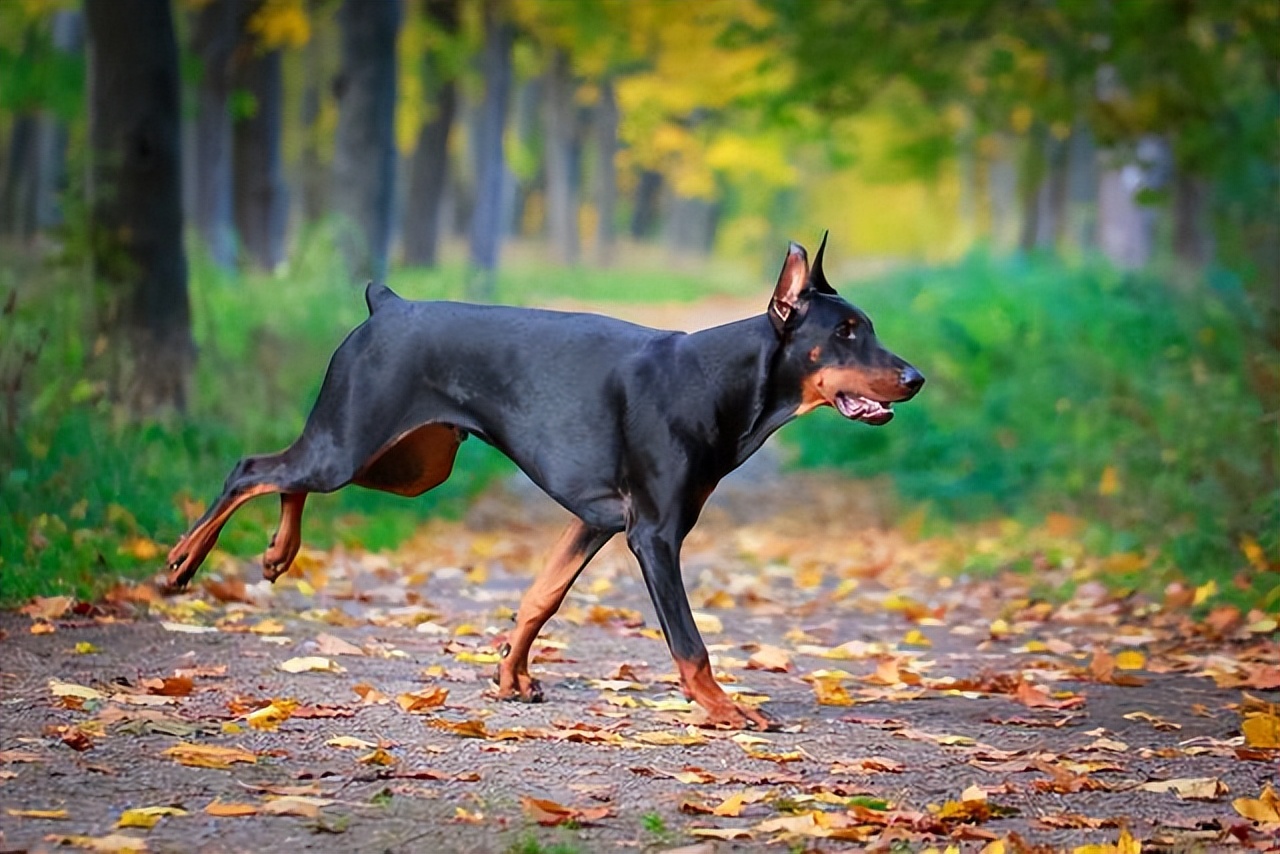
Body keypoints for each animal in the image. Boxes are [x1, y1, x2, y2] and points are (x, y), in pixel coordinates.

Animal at [167, 234, 921, 727]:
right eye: (846, 333)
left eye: (868, 328)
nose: (915, 377)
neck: (721, 380)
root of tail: (388, 303)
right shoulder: (655, 534)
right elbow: (689, 643)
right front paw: (724, 706)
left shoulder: (597, 520)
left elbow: (541, 598)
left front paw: (509, 674)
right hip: (353, 442)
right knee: (254, 468)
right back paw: (184, 560)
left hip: (406, 464)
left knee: (288, 475)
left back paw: (278, 551)